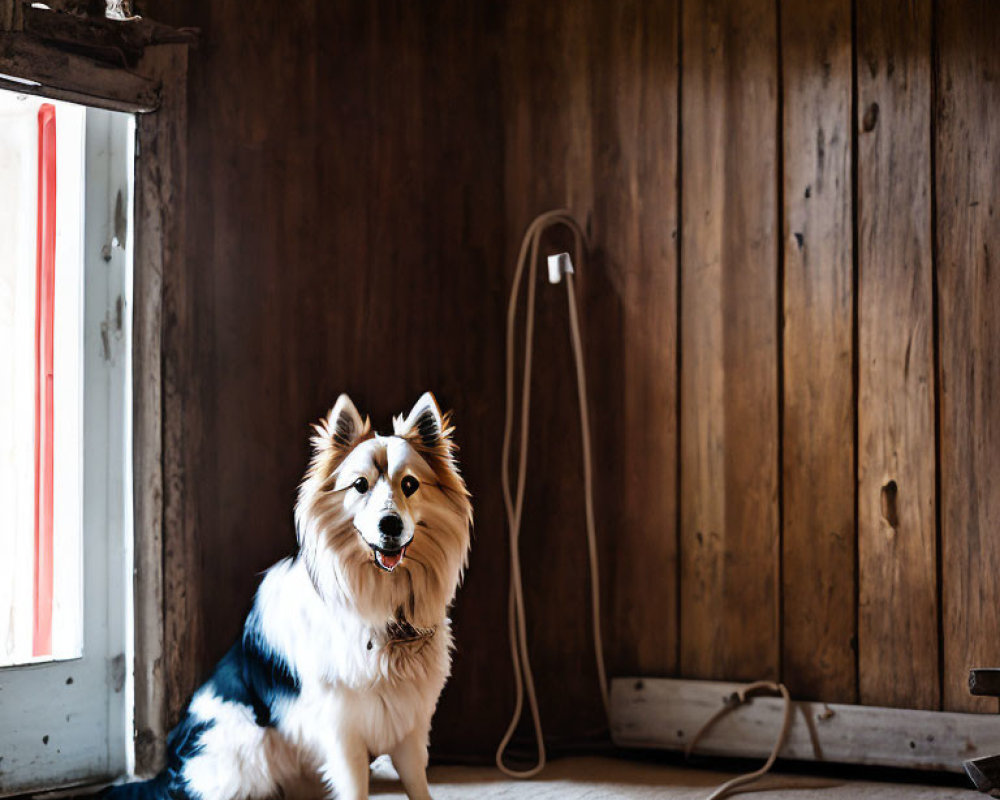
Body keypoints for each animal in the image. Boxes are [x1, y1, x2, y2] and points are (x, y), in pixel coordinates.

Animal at [111, 394, 470, 800]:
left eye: (409, 484)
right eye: (359, 486)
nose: (390, 524)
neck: (384, 604)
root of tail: (171, 767)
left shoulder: (409, 722)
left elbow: (418, 785)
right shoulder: (342, 729)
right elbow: (354, 788)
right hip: (248, 747)